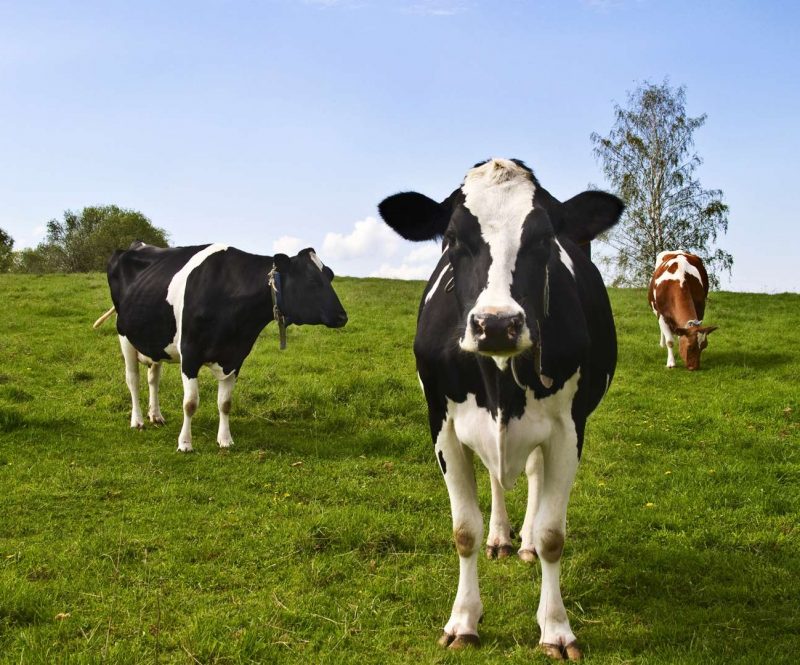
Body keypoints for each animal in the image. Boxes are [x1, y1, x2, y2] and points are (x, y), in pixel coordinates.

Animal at [95, 243, 346, 452]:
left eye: (330, 275)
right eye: (312, 281)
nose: (343, 316)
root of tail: (134, 245)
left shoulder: (235, 356)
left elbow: (225, 403)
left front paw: (225, 440)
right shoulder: (190, 353)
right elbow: (190, 403)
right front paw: (185, 443)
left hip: (155, 339)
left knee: (153, 378)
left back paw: (156, 416)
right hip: (124, 334)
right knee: (133, 379)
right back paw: (137, 420)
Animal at [378, 157, 620, 660]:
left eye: (545, 238)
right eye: (452, 238)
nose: (496, 325)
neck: (499, 379)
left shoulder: (569, 429)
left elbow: (552, 535)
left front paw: (556, 627)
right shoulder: (442, 424)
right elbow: (463, 530)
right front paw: (463, 620)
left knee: (532, 477)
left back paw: (522, 542)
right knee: (495, 475)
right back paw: (501, 538)